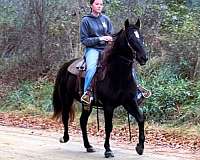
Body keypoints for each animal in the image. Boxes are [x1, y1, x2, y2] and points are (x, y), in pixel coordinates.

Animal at [52, 18, 148, 158]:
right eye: (130, 38)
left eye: (141, 36)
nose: (144, 57)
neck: (117, 74)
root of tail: (66, 65)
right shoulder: (108, 106)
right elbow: (108, 126)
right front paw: (108, 150)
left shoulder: (129, 102)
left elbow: (140, 118)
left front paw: (140, 147)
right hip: (66, 98)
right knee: (65, 116)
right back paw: (65, 138)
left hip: (87, 104)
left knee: (82, 121)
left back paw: (88, 146)